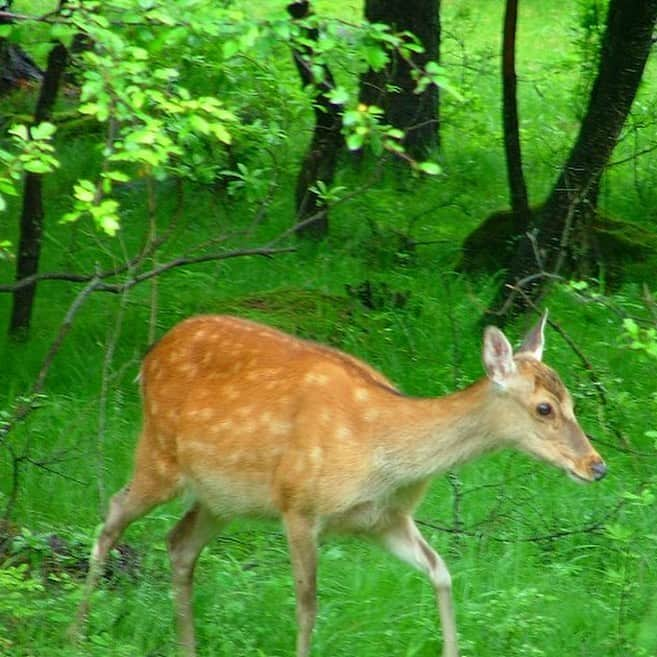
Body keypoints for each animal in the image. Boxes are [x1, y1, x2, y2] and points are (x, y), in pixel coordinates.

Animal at [72, 308, 604, 656]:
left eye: (573, 400)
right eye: (544, 408)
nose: (596, 466)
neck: (383, 455)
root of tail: (148, 358)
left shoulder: (385, 520)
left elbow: (442, 572)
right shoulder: (299, 504)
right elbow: (308, 604)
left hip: (223, 496)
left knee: (179, 542)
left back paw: (188, 647)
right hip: (159, 453)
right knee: (112, 515)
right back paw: (74, 634)